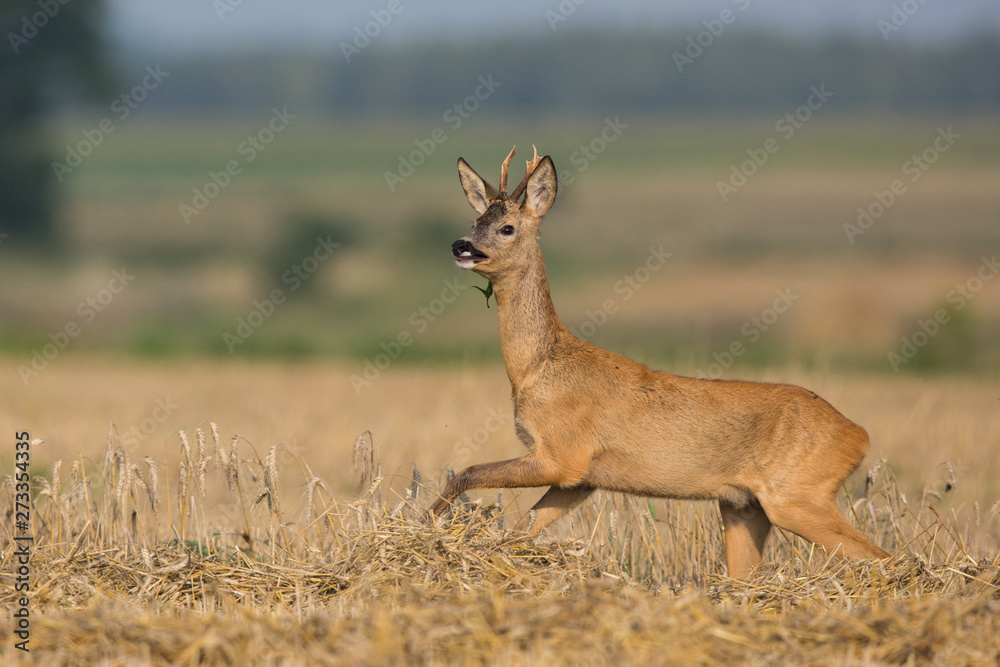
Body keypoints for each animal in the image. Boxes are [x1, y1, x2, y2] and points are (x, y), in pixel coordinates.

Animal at [430, 146, 892, 580]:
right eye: (475, 220)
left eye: (507, 227)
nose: (461, 245)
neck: (537, 367)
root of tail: (859, 435)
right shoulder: (582, 479)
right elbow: (522, 529)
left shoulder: (562, 454)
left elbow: (466, 471)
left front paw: (429, 522)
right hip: (743, 506)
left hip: (796, 495)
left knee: (884, 558)